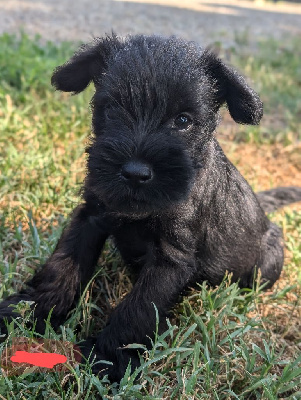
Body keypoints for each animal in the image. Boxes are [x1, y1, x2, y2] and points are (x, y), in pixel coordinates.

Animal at [0, 34, 300, 382]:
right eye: (112, 108)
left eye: (183, 120)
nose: (135, 172)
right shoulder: (91, 216)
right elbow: (61, 265)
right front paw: (26, 311)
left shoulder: (171, 256)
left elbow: (138, 307)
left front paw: (105, 358)